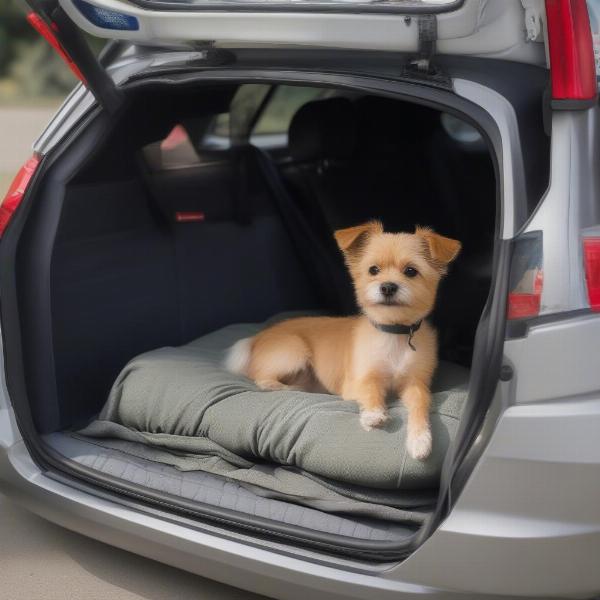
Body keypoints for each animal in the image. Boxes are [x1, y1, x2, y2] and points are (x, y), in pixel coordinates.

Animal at [224, 220, 460, 460]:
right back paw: (287, 388)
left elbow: (421, 402)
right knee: (260, 378)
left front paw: (420, 439)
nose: (387, 286)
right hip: (294, 351)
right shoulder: (359, 380)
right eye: (373, 270)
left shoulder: (416, 382)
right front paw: (373, 414)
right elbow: (371, 388)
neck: (394, 334)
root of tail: (257, 338)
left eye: (411, 271)